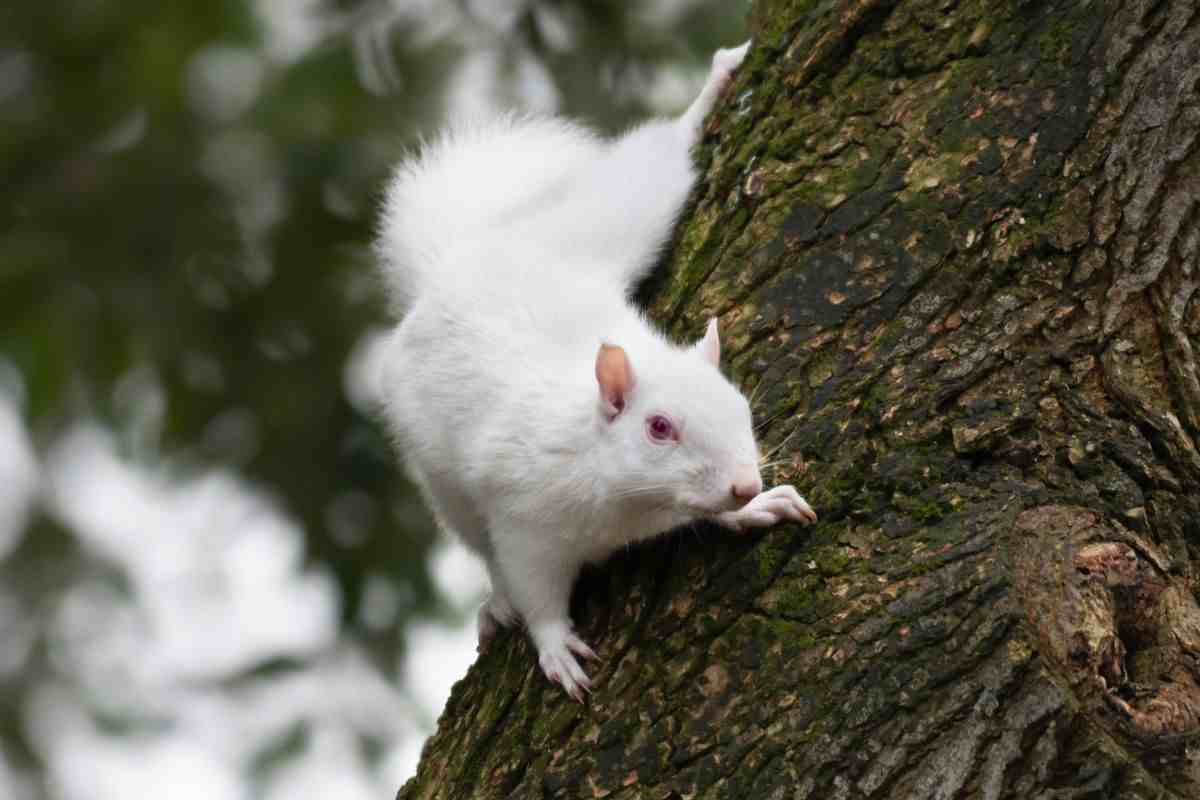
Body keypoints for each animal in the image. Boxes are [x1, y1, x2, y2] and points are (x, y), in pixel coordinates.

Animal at [375, 41, 816, 701]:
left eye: (741, 407)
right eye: (659, 428)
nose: (745, 484)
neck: (629, 503)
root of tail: (463, 260)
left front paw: (755, 508)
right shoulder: (524, 520)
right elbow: (536, 592)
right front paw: (555, 647)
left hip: (628, 210)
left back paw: (712, 89)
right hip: (445, 485)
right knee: (481, 548)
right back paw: (496, 604)